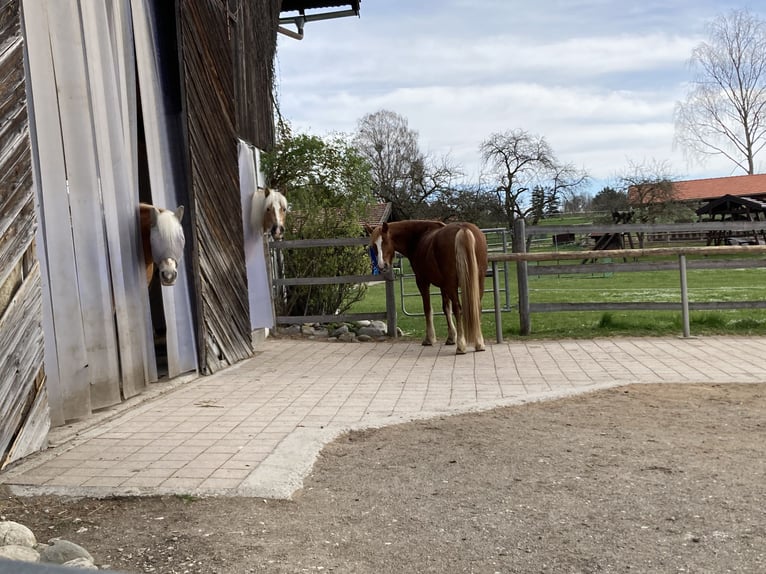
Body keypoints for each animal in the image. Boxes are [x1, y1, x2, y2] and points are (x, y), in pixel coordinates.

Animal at [368, 220, 488, 356]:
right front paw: (451, 337)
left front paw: (429, 339)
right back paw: (479, 343)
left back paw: (461, 346)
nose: (382, 266)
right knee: (477, 307)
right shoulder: (443, 286)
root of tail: (463, 228)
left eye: (385, 241)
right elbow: (446, 308)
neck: (419, 237)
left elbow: (428, 309)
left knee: (458, 309)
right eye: (374, 246)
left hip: (452, 284)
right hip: (477, 281)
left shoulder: (422, 282)